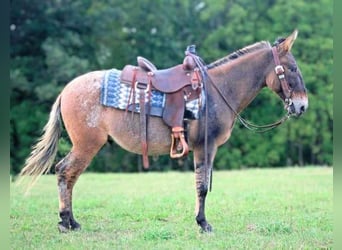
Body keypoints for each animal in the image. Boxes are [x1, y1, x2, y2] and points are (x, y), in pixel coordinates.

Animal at [18, 29, 308, 232]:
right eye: (293, 68)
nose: (302, 105)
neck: (218, 89)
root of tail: (66, 90)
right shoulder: (206, 146)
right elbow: (202, 186)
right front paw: (203, 223)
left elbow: (200, 183)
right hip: (86, 145)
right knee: (66, 173)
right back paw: (66, 222)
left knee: (66, 174)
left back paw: (70, 221)